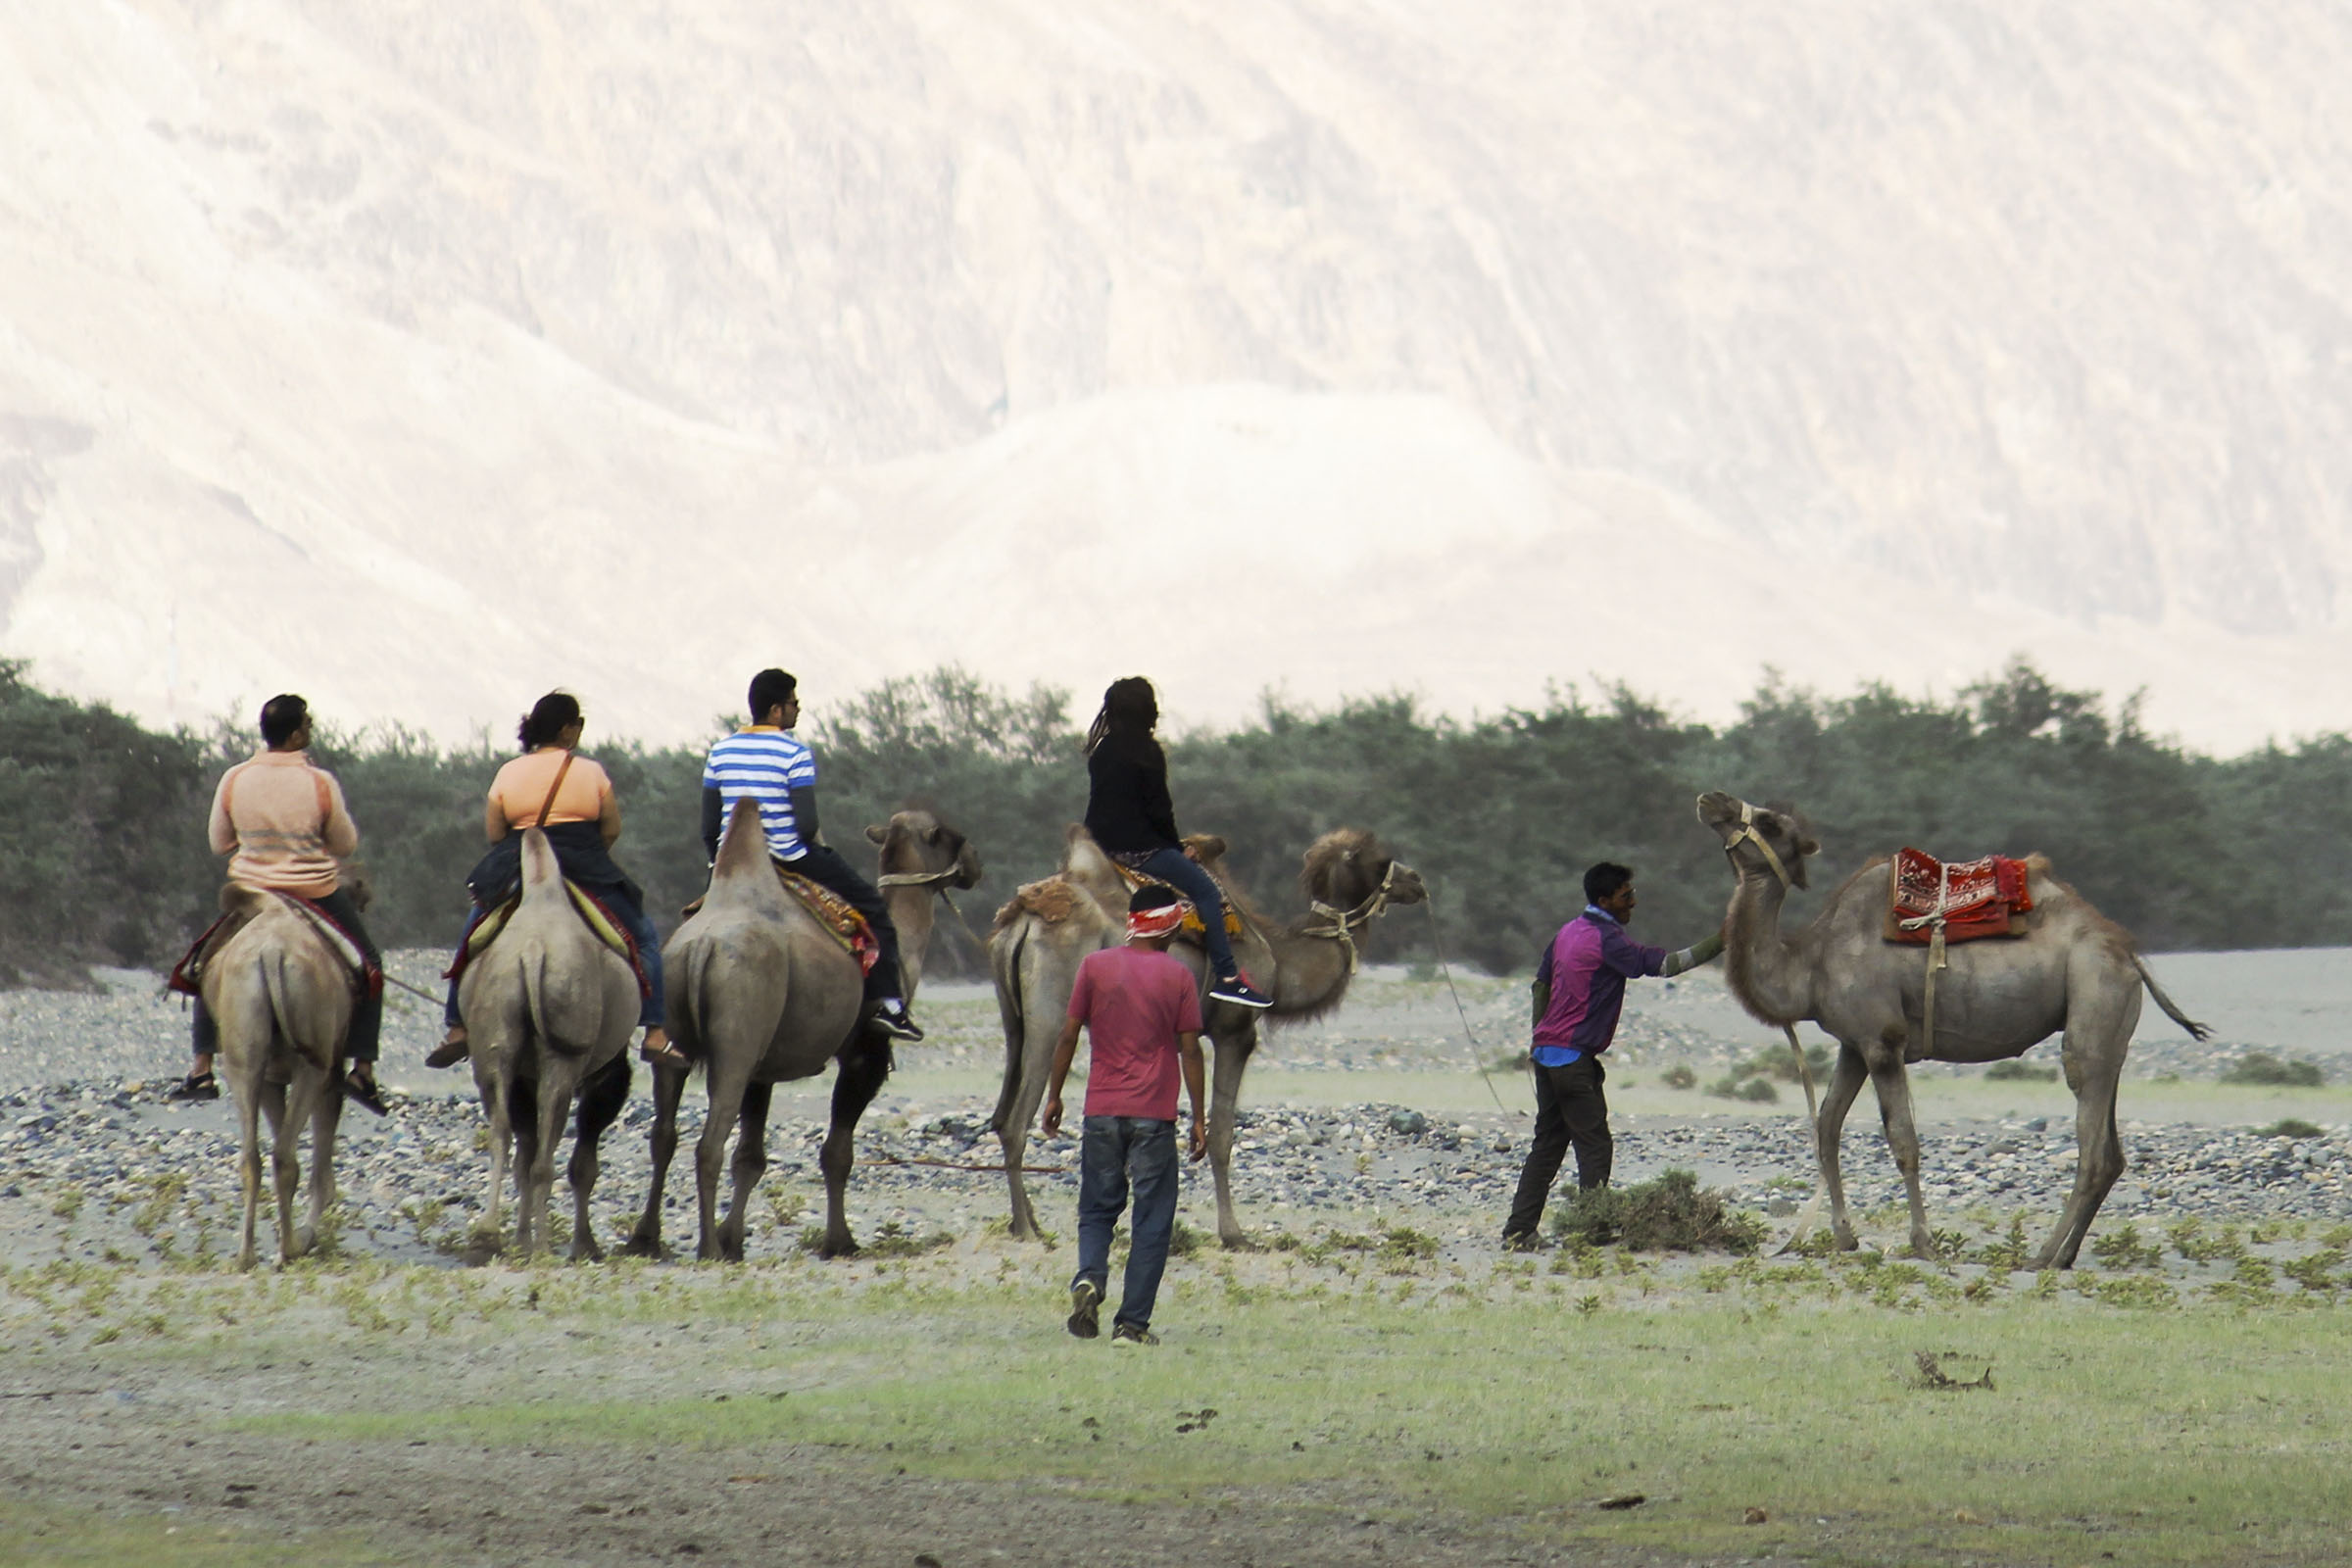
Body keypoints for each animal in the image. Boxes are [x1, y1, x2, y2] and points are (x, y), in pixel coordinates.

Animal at [204, 888, 355, 1269]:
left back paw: (248, 1254)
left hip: (244, 1049)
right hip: (313, 1064)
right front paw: (309, 1233)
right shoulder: (327, 1073)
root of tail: (271, 953)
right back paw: (290, 1247)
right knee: (286, 1156)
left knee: (254, 1157)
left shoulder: (271, 1078)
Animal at [454, 832, 639, 1259]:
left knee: (503, 1133)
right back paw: (540, 1246)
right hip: (565, 1056)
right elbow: (583, 1163)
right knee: (546, 1152)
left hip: (496, 1032)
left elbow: (522, 1148)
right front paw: (585, 1245)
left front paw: (520, 1239)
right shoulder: (608, 1074)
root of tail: (533, 950)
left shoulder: (522, 1075)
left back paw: (488, 1236)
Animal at [630, 808, 968, 1259]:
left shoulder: (763, 1070)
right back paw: (707, 1249)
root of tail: (700, 946)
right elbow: (837, 1153)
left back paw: (645, 1239)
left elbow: (750, 1157)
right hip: (737, 1035)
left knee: (664, 1134)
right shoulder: (864, 1054)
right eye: (951, 836)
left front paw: (734, 1239)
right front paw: (840, 1242)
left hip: (677, 1036)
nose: (973, 866)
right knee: (709, 1142)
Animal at [983, 822, 1420, 1250]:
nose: (1416, 881)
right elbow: (1221, 1134)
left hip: (1013, 1017)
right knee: (1018, 1120)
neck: (1279, 963)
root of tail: (1024, 920)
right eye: (1378, 858)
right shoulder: (1235, 1032)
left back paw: (1030, 1224)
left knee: (1003, 1112)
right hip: (1052, 1012)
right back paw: (1025, 1229)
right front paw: (1234, 1234)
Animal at [1693, 789, 2201, 1269]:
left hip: (2094, 993)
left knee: (2091, 1144)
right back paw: (2065, 1256)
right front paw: (1843, 1237)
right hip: (2111, 1031)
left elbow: (1903, 1140)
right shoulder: (1853, 1045)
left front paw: (1922, 1243)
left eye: (1770, 823)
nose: (1712, 798)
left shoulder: (1883, 1040)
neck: (1808, 966)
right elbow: (1827, 1128)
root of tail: (2128, 954)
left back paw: (2041, 1256)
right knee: (2111, 1152)